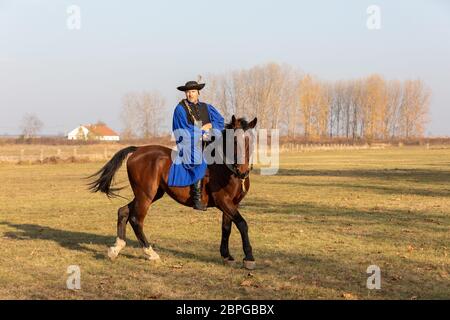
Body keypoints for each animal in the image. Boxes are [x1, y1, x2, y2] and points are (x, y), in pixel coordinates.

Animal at [87, 116, 256, 268]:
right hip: (145, 195)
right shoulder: (223, 201)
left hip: (151, 194)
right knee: (136, 219)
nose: (243, 172)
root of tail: (138, 150)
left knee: (123, 211)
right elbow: (242, 224)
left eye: (251, 141)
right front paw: (249, 258)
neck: (225, 168)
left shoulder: (232, 203)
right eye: (234, 141)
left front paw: (227, 255)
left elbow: (226, 227)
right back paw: (151, 253)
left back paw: (116, 249)